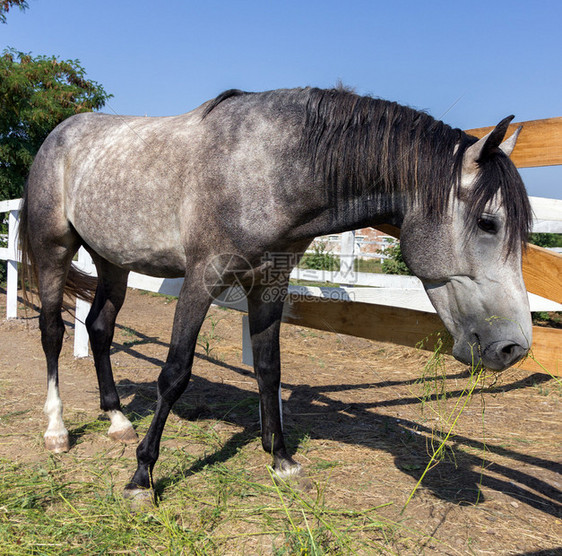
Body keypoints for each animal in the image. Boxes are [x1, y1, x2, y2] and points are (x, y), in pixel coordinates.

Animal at [18, 87, 528, 504]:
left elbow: (269, 369)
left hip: (112, 261)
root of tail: (59, 133)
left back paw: (118, 420)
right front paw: (142, 477)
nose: (513, 348)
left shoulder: (269, 284)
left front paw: (282, 460)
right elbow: (175, 373)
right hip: (54, 250)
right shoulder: (202, 279)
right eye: (488, 223)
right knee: (52, 331)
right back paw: (57, 430)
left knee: (99, 328)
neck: (269, 167)